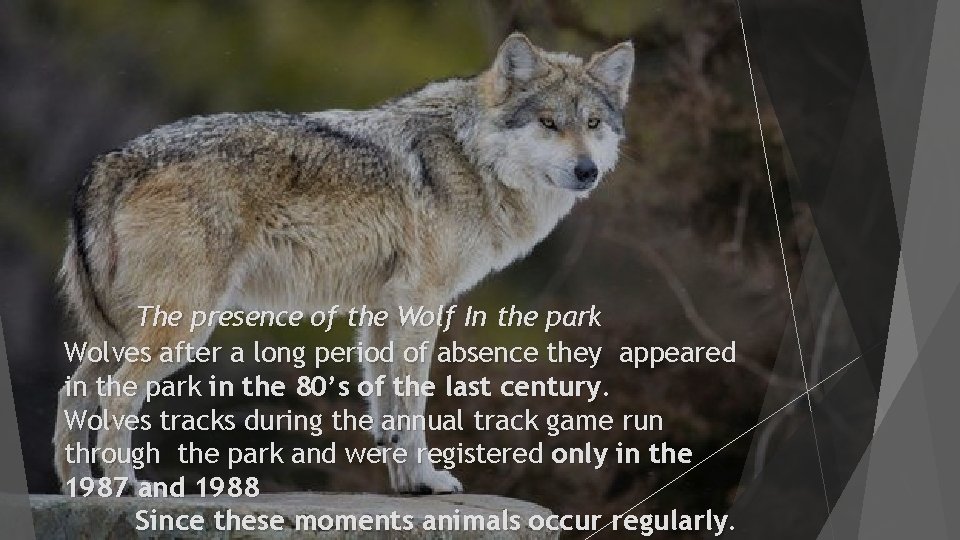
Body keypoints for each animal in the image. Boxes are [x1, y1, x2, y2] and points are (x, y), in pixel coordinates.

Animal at [55, 33, 633, 495]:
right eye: (549, 123)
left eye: (592, 123)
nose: (587, 171)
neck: (471, 157)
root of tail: (112, 160)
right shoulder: (421, 305)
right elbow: (412, 406)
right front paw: (428, 479)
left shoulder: (381, 309)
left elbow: (387, 410)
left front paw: (407, 485)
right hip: (181, 329)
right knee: (113, 399)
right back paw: (127, 489)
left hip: (118, 335)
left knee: (72, 395)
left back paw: (83, 490)